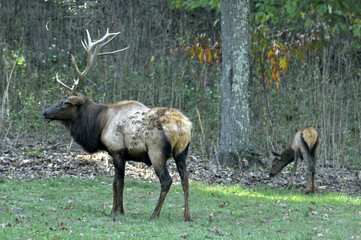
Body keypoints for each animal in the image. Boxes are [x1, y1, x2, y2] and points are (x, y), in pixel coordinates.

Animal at [42, 29, 193, 220]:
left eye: (66, 102)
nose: (45, 112)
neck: (99, 125)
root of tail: (184, 127)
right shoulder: (114, 153)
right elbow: (114, 182)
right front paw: (112, 209)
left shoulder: (118, 151)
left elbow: (120, 182)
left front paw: (119, 211)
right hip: (182, 152)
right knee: (185, 179)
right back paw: (187, 216)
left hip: (156, 152)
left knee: (167, 180)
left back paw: (154, 214)